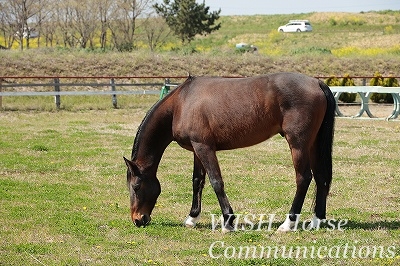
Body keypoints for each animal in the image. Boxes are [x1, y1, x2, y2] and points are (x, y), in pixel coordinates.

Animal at [123, 72, 336, 233]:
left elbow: (216, 181)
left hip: (298, 144)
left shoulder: (204, 147)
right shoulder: (196, 149)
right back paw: (317, 220)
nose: (138, 219)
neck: (181, 103)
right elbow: (197, 182)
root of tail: (316, 82)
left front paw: (228, 221)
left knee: (303, 178)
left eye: (136, 187)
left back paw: (288, 223)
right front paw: (192, 218)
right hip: (313, 143)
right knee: (321, 177)